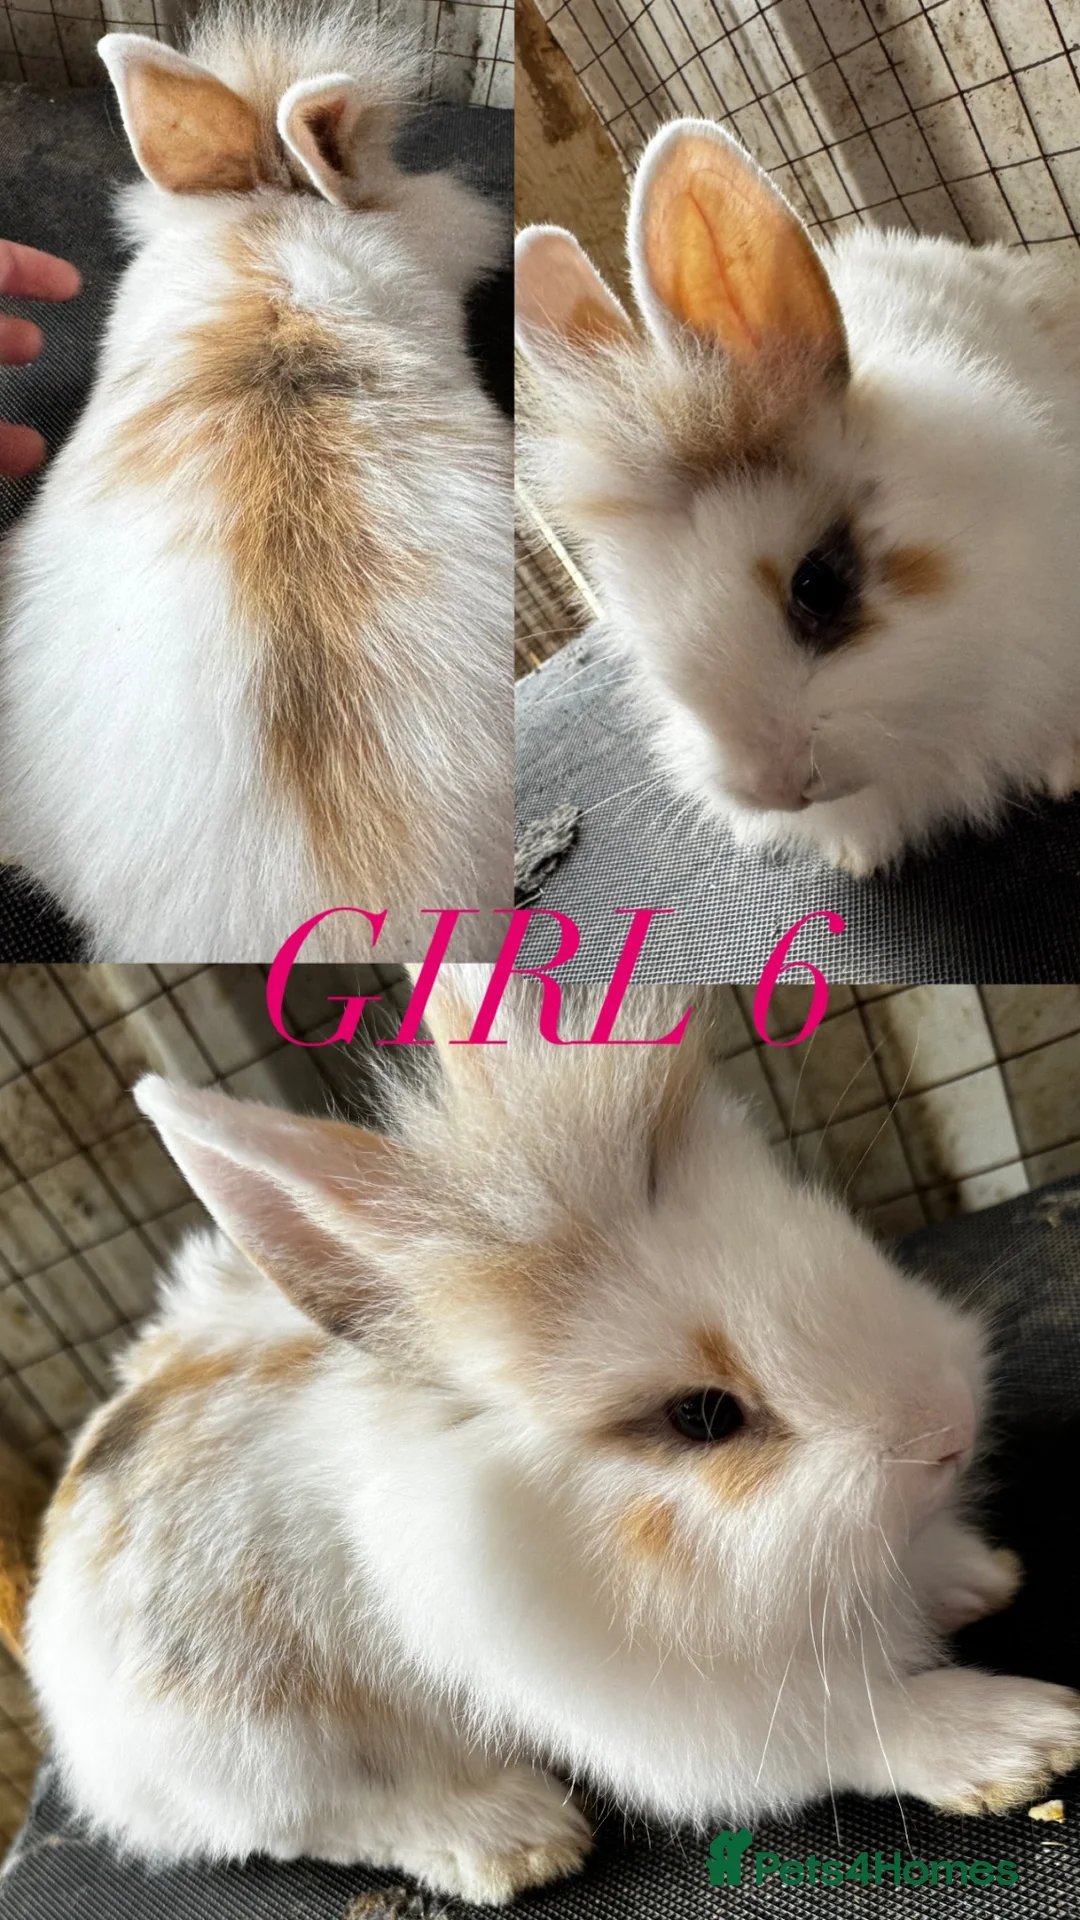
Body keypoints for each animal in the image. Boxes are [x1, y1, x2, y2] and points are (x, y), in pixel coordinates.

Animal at [22, 970, 1080, 1904]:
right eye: (703, 1416)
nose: (949, 1427)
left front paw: (978, 1574)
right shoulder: (691, 1716)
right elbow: (860, 1725)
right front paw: (1023, 1738)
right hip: (257, 1747)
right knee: (318, 1820)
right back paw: (509, 1836)